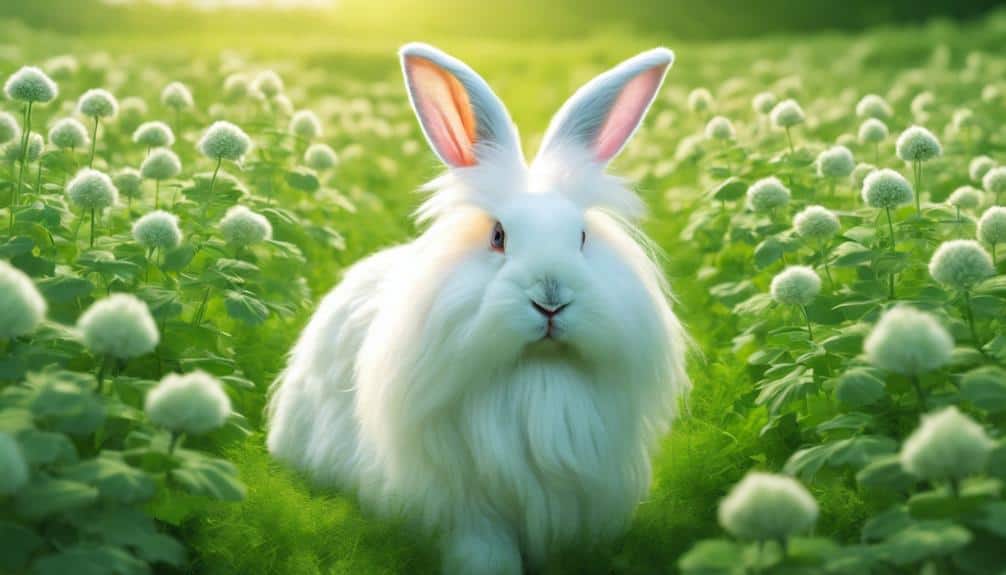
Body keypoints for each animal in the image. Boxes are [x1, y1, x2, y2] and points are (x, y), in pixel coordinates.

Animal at [267, 42, 689, 575]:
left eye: (581, 237)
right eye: (498, 236)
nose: (551, 299)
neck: (536, 371)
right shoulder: (467, 504)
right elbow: (483, 545)